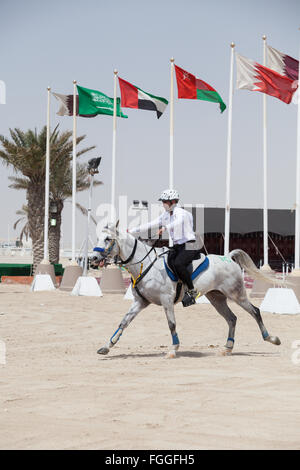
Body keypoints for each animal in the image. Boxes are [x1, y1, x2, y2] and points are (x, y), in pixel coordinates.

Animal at [92, 222, 282, 358]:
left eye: (108, 239)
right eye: (98, 238)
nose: (93, 258)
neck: (144, 264)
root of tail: (228, 257)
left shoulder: (166, 300)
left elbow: (171, 324)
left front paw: (173, 350)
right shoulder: (140, 302)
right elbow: (123, 322)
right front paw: (106, 347)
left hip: (237, 294)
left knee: (255, 311)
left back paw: (271, 338)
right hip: (217, 298)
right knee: (232, 319)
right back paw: (227, 348)